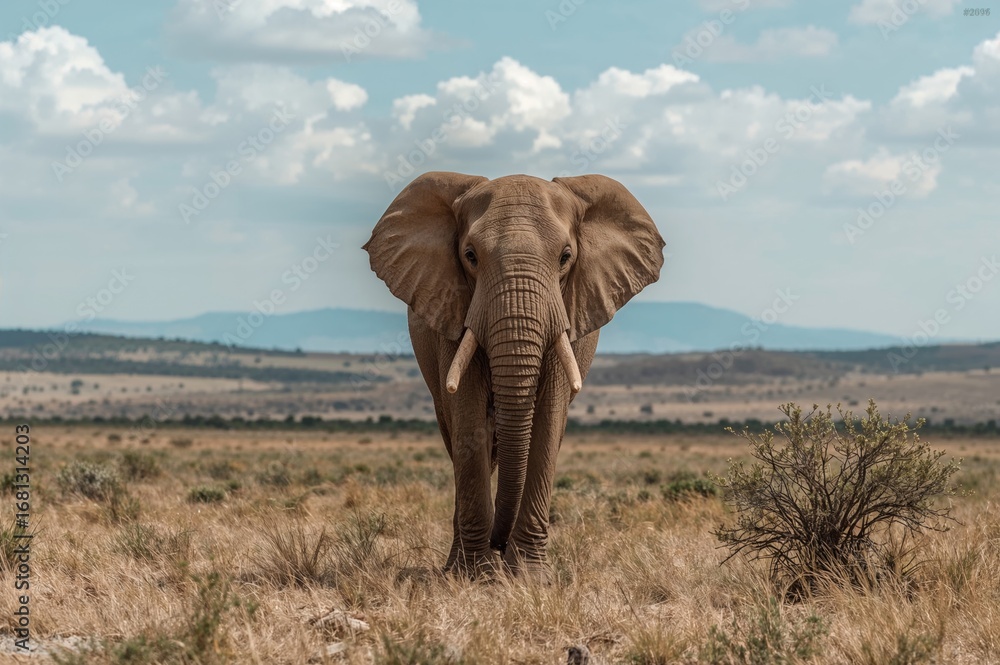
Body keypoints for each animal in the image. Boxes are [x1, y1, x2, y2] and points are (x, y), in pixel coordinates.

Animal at [363, 171, 665, 579]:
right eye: (470, 256)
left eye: (565, 257)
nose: (499, 544)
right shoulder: (451, 311)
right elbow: (467, 417)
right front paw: (476, 575)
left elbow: (548, 422)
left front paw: (529, 575)